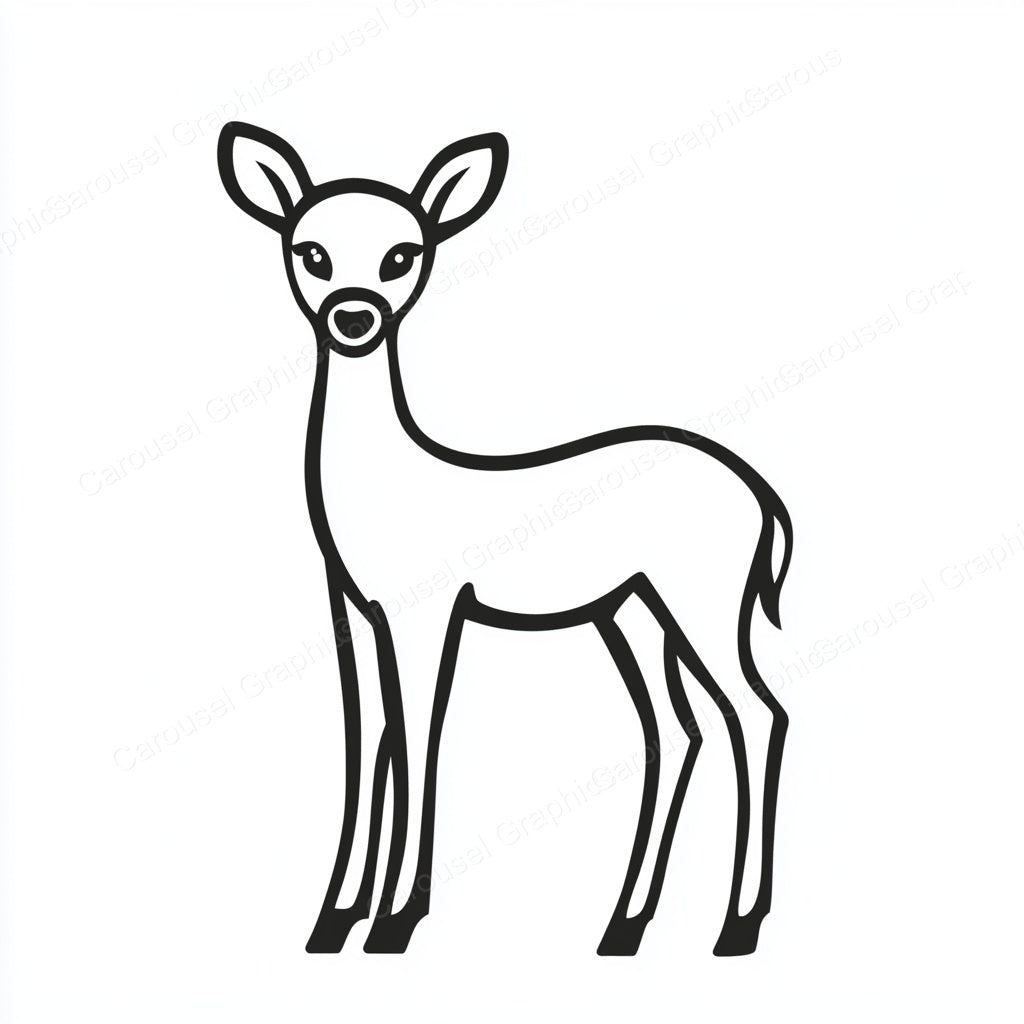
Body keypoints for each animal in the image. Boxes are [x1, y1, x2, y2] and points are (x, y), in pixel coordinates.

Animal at [217, 121, 794, 957]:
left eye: (404, 254)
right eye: (310, 250)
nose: (354, 318)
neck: (389, 481)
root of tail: (762, 495)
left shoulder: (429, 611)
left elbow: (418, 737)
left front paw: (394, 922)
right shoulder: (353, 611)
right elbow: (369, 738)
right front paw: (333, 920)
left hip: (702, 600)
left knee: (756, 714)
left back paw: (736, 928)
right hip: (632, 611)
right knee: (676, 729)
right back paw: (623, 926)